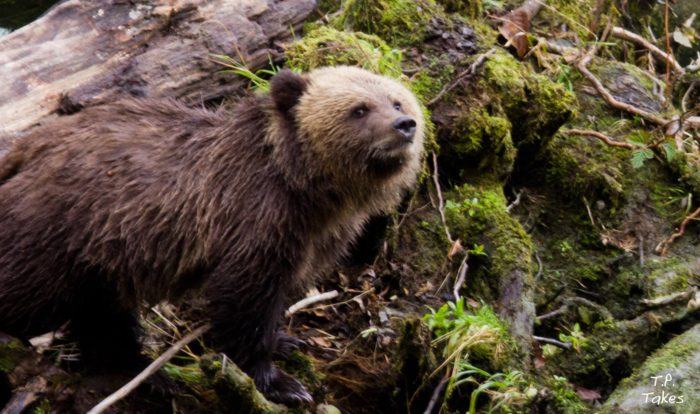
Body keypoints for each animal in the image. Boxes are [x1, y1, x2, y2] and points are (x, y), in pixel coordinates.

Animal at [0, 66, 424, 402]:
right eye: (359, 109)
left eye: (396, 101)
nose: (405, 125)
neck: (306, 185)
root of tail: (26, 146)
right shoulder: (254, 217)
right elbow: (244, 297)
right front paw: (280, 382)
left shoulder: (315, 236)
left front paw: (286, 340)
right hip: (58, 229)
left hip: (97, 254)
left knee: (101, 314)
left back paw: (145, 375)